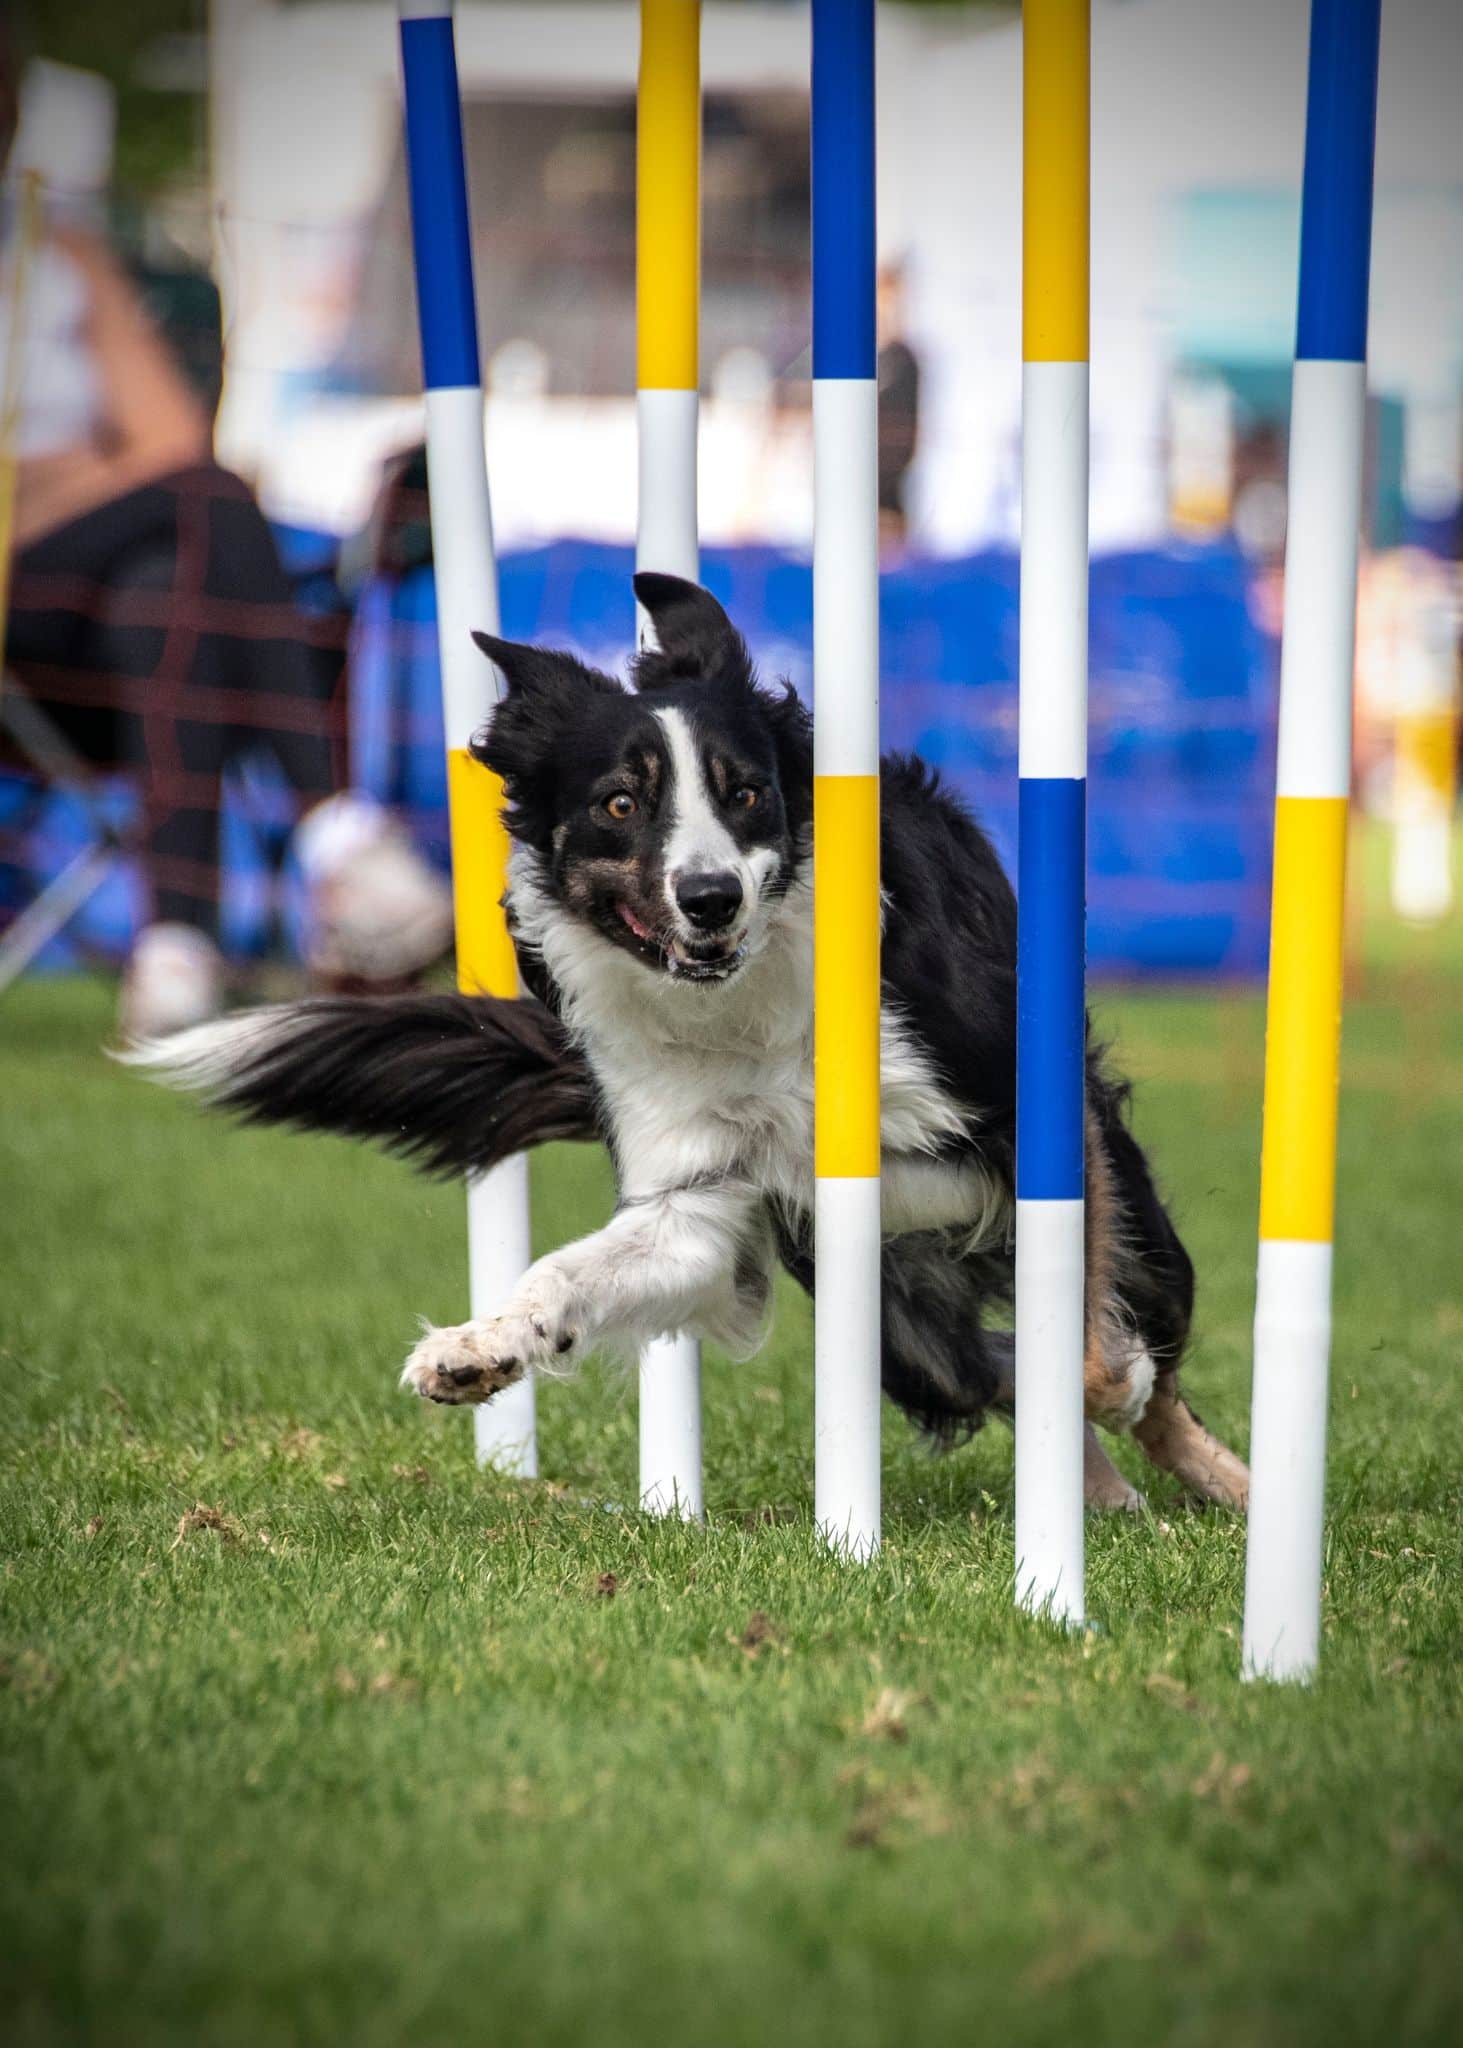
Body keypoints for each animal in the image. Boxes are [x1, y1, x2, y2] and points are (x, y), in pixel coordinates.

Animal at [134, 573, 1245, 1507]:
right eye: (619, 803)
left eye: (745, 791)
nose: (708, 898)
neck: (745, 1004)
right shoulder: (698, 1199)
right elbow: (564, 1272)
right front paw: (479, 1344)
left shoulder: (1023, 1105)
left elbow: (1098, 1360)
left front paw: (1114, 1385)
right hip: (895, 1313)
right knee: (987, 1368)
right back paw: (1105, 1491)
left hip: (1112, 1240)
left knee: (1139, 1359)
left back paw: (1213, 1482)